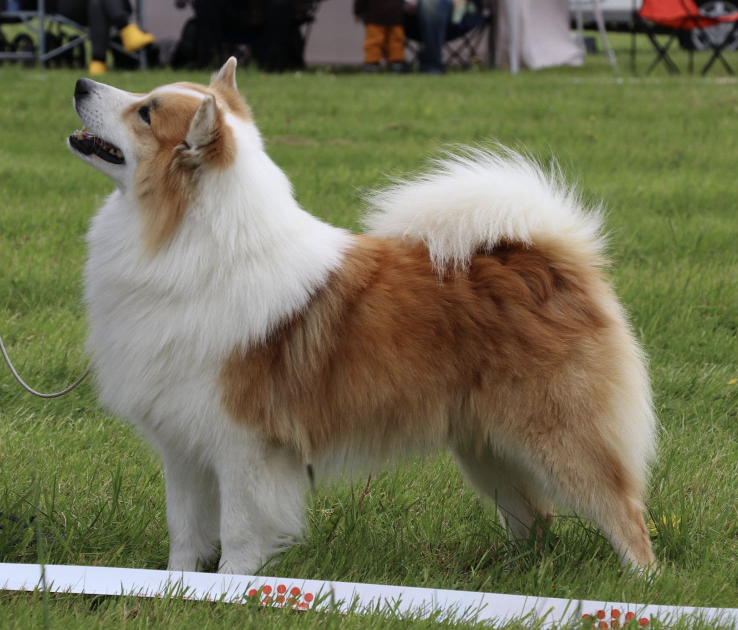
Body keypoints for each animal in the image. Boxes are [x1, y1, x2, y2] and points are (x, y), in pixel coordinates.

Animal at [69, 59, 656, 576]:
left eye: (145, 112)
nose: (78, 83)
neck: (191, 244)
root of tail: (547, 258)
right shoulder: (184, 447)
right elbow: (185, 532)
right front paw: (177, 585)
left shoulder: (244, 447)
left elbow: (237, 531)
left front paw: (233, 587)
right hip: (487, 448)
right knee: (535, 517)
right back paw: (516, 573)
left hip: (560, 437)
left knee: (625, 516)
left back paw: (641, 587)